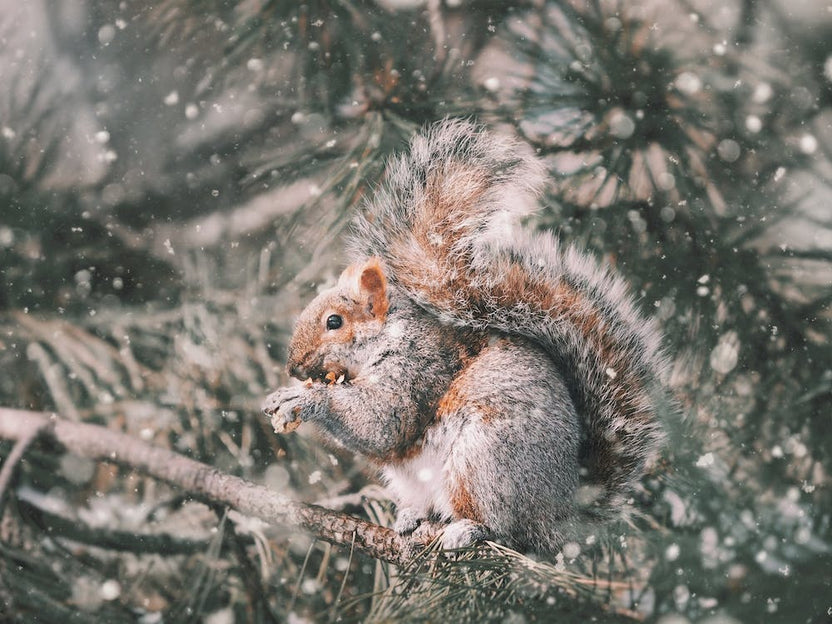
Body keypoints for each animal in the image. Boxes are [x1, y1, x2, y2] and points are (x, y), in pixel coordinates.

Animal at [262, 119, 669, 554]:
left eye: (334, 322)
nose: (293, 366)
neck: (387, 338)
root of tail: (565, 517)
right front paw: (281, 395)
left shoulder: (416, 368)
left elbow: (383, 422)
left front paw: (305, 399)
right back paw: (410, 517)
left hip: (484, 460)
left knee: (508, 528)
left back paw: (468, 530)